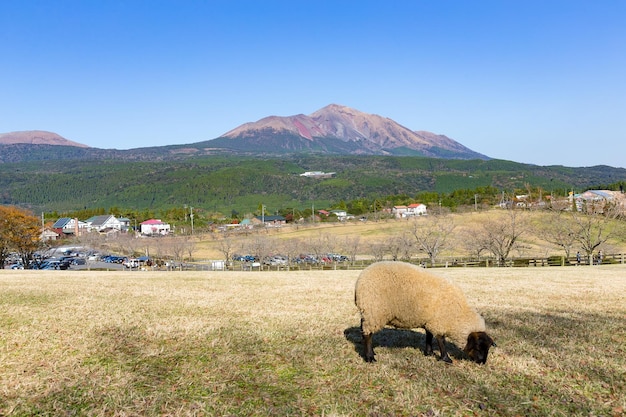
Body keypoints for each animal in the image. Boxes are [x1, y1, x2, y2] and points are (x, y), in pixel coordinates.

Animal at [354, 262, 494, 362]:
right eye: (478, 347)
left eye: (487, 347)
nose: (482, 362)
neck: (457, 314)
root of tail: (359, 280)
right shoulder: (439, 322)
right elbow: (441, 340)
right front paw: (446, 358)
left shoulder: (430, 321)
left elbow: (429, 336)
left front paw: (429, 353)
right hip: (374, 311)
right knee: (367, 334)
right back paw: (370, 357)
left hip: (369, 312)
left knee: (364, 330)